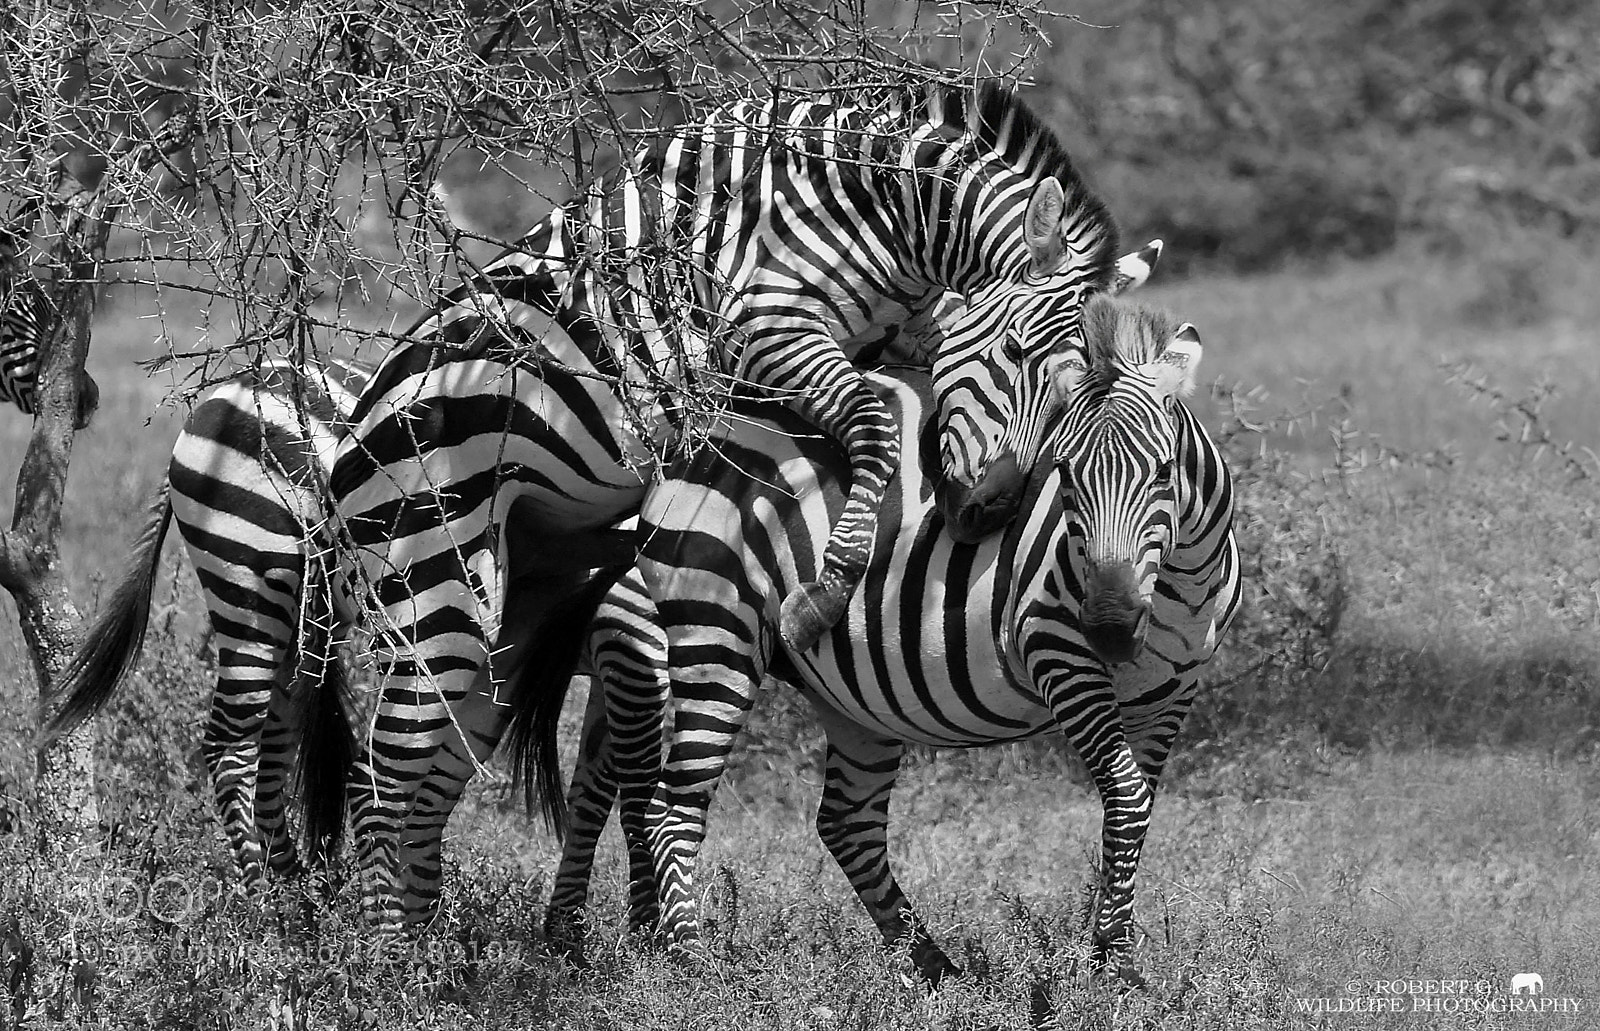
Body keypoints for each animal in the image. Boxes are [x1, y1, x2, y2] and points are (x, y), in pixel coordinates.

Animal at [319, 80, 1121, 933]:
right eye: (1016, 353)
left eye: (1075, 388)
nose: (988, 511)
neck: (878, 206)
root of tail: (349, 433)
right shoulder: (769, 330)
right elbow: (873, 421)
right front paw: (826, 588)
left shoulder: (886, 334)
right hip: (433, 580)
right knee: (382, 780)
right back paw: (387, 951)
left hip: (505, 610)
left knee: (433, 777)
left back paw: (430, 943)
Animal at [517, 292, 1241, 984]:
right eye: (1064, 474)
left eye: (1164, 471)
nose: (1112, 630)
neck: (1177, 582)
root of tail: (697, 436)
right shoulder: (1058, 655)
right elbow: (1126, 797)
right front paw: (1114, 968)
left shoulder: (1170, 693)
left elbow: (1133, 808)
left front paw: (1109, 955)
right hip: (709, 633)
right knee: (669, 807)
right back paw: (686, 969)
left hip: (850, 694)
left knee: (845, 821)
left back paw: (933, 969)